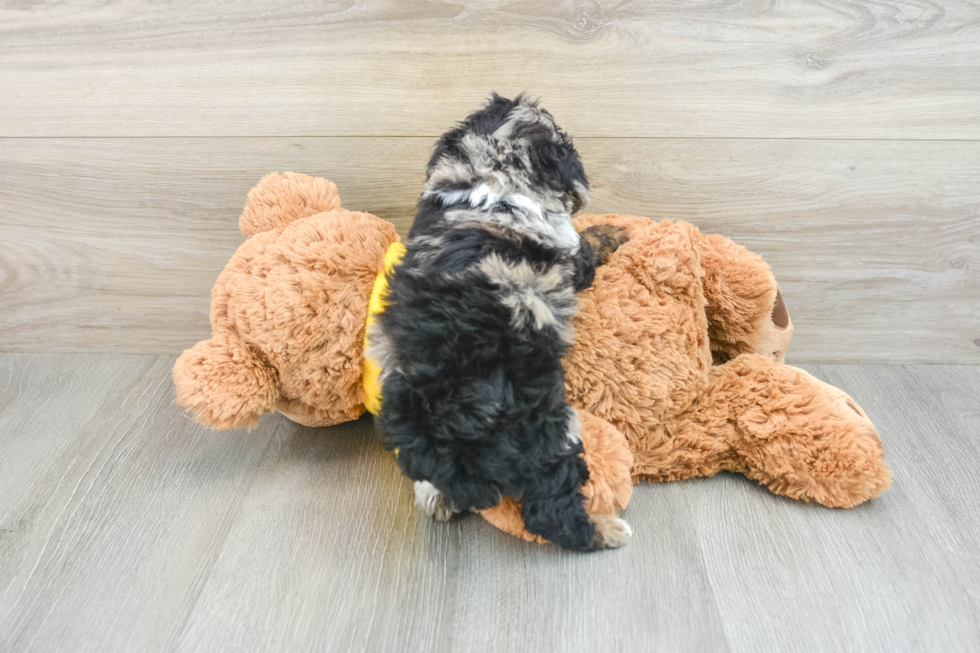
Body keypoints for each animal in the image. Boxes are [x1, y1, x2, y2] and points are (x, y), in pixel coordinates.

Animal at [372, 93, 632, 552]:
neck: (491, 174)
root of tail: (448, 421)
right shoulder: (570, 252)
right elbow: (588, 240)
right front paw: (614, 232)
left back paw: (437, 496)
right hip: (551, 429)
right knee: (550, 510)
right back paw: (605, 529)